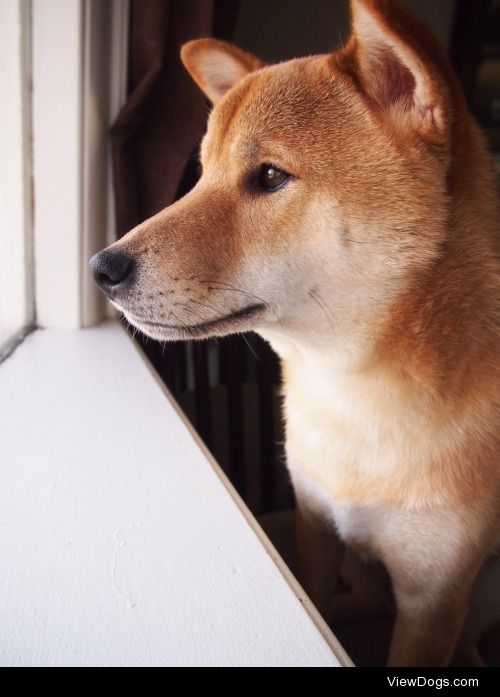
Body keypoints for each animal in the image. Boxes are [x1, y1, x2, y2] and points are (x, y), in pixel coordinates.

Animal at [91, 0, 500, 664]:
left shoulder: (434, 597)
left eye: (269, 176)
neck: (351, 400)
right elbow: (321, 599)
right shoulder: (315, 528)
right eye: (201, 175)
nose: (101, 268)